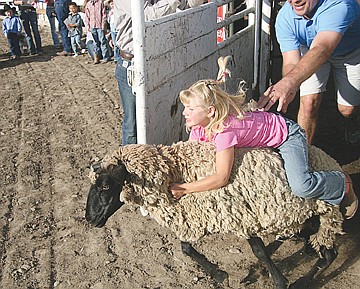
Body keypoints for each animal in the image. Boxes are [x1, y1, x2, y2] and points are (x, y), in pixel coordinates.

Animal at [86, 139, 344, 286]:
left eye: (105, 186)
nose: (89, 218)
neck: (177, 171)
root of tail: (330, 161)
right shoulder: (195, 215)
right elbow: (186, 248)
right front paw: (219, 275)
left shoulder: (243, 216)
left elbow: (259, 251)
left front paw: (280, 281)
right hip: (301, 219)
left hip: (319, 214)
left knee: (329, 254)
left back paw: (303, 282)